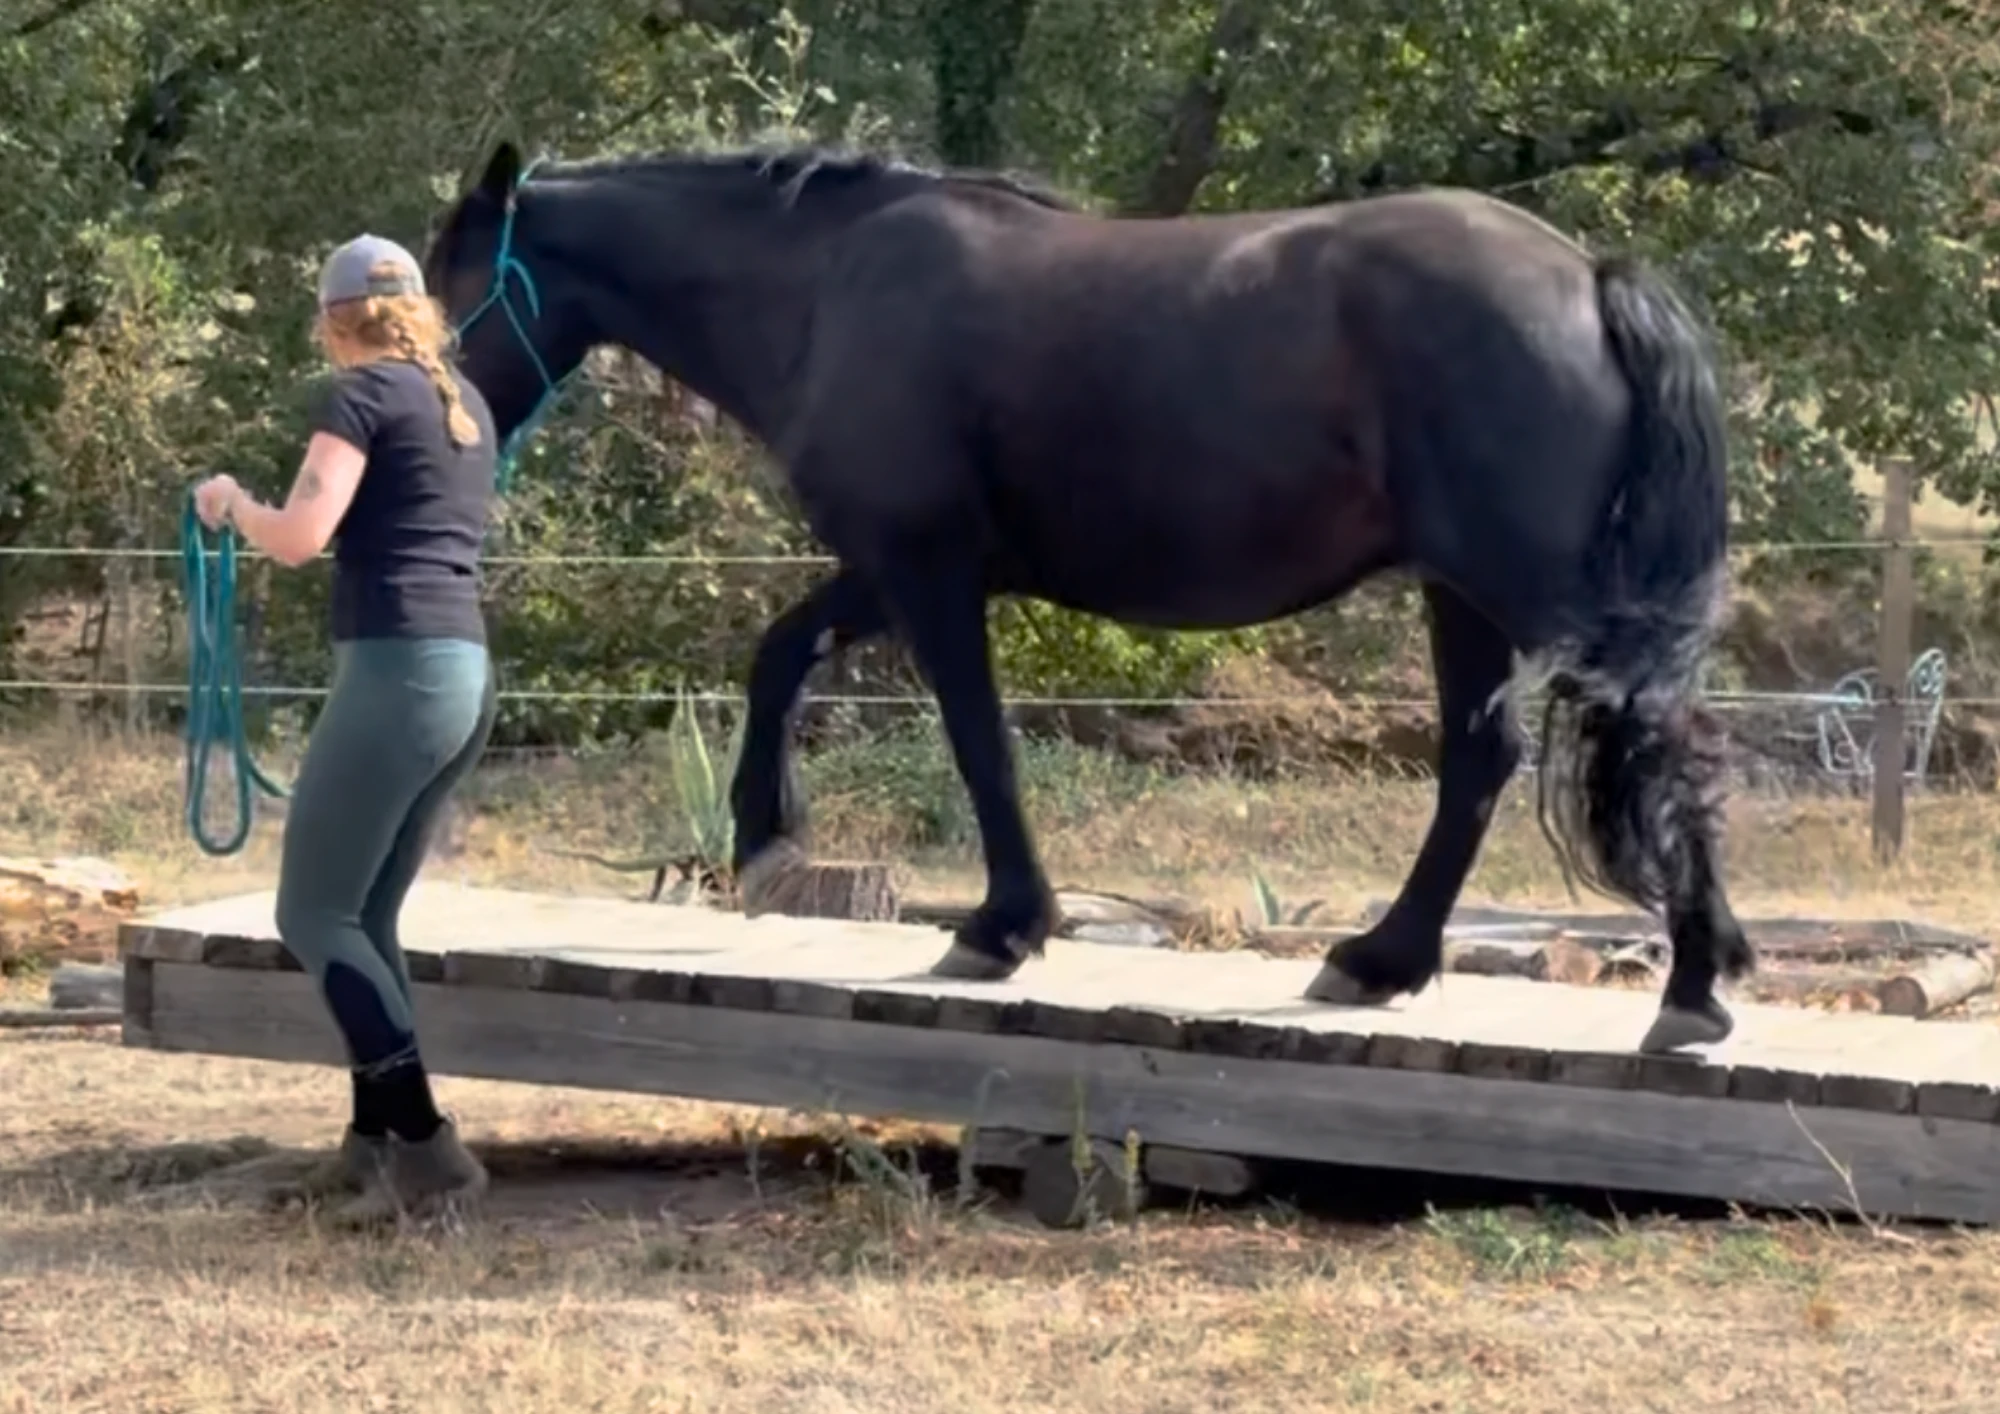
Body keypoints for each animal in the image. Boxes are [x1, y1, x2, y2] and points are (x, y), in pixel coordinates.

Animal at [421, 138, 1753, 1056]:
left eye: (440, 279)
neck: (824, 286)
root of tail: (1587, 277)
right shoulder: (891, 569)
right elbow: (778, 655)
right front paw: (765, 840)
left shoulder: (927, 570)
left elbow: (977, 745)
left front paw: (999, 925)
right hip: (1463, 595)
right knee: (1485, 765)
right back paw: (1382, 961)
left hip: (1527, 588)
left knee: (1656, 749)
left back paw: (1688, 988)